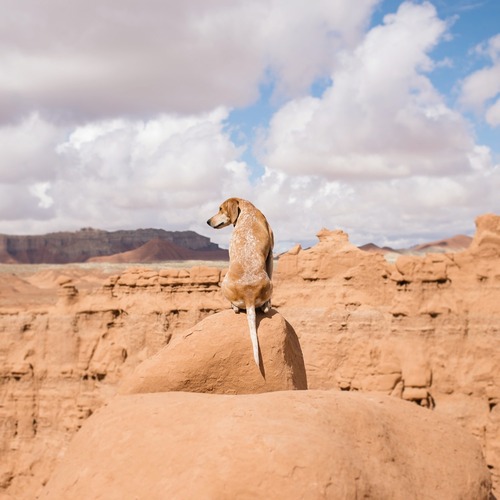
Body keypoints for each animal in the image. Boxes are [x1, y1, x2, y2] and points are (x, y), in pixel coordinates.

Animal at [207, 198, 274, 368]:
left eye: (220, 209)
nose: (208, 221)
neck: (247, 210)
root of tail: (249, 296)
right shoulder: (271, 253)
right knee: (263, 307)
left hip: (224, 282)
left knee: (238, 308)